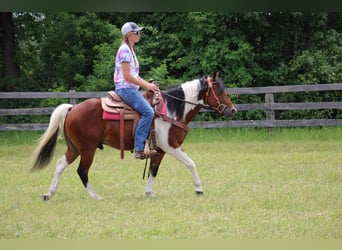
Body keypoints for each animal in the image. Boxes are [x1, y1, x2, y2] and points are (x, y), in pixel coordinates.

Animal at [30, 71, 236, 200]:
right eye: (219, 90)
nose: (233, 110)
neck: (172, 110)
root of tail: (72, 108)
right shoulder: (171, 145)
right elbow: (191, 163)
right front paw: (199, 189)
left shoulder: (159, 150)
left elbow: (153, 170)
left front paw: (149, 193)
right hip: (88, 149)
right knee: (82, 171)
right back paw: (95, 196)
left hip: (75, 148)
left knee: (60, 165)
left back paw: (49, 194)